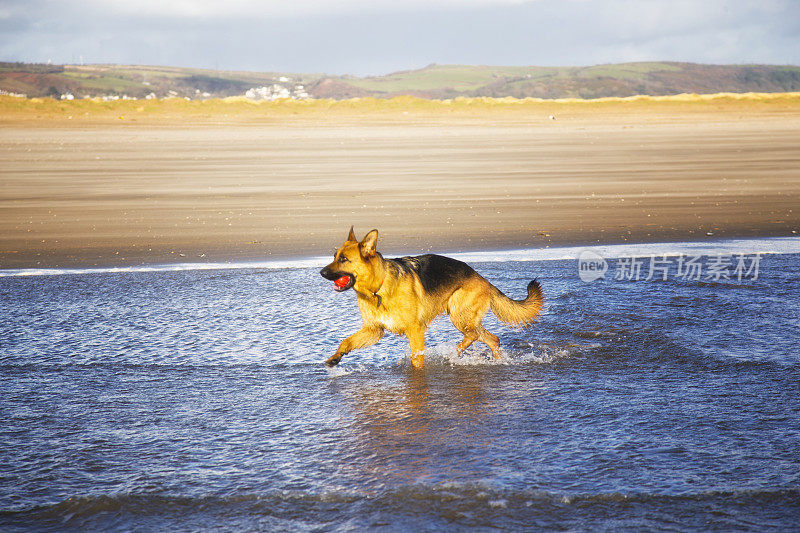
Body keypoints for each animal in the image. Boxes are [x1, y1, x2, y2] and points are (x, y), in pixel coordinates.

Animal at [318, 227, 544, 368]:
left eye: (344, 259)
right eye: (334, 256)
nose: (321, 272)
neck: (378, 288)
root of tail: (483, 279)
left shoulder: (415, 331)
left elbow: (416, 360)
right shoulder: (373, 331)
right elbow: (346, 342)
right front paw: (335, 358)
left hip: (458, 313)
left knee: (473, 336)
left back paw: (454, 352)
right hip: (466, 318)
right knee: (492, 339)